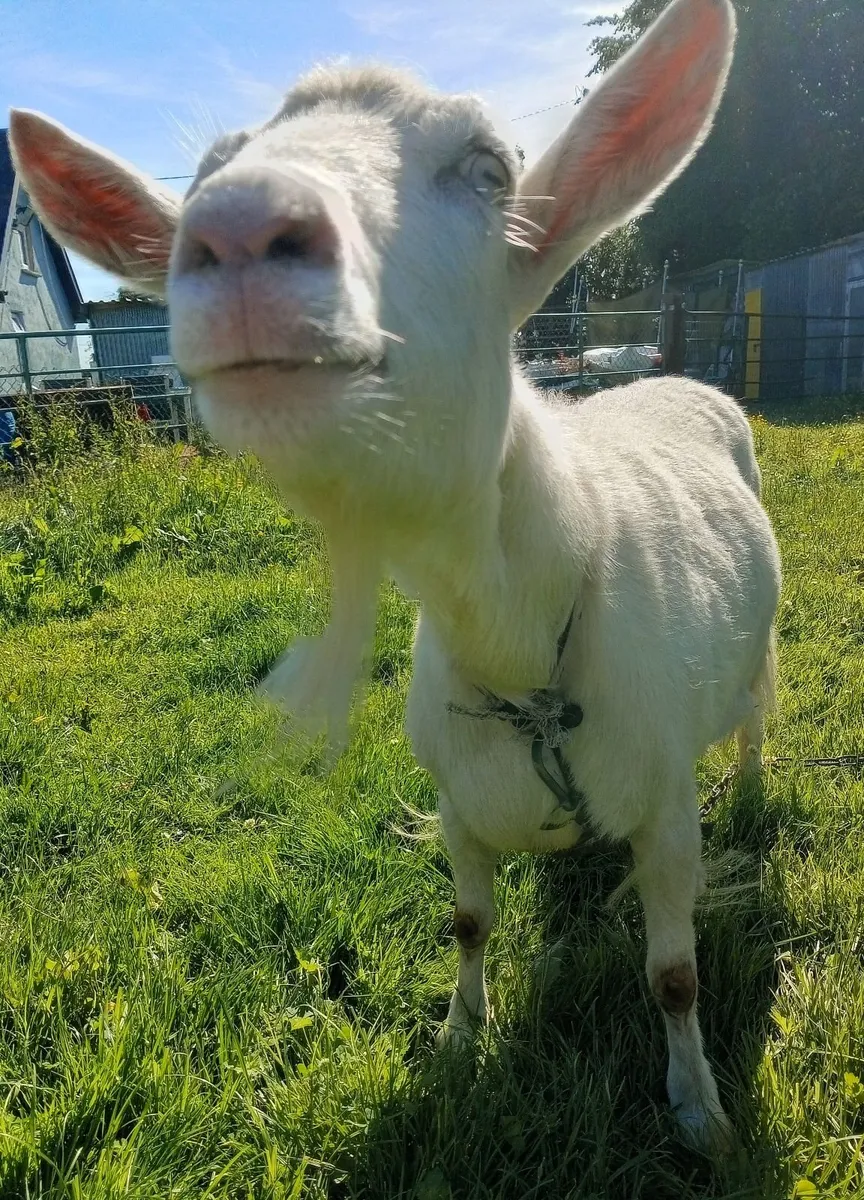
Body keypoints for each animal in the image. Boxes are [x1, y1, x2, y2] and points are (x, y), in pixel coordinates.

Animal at [9, 0, 781, 1147]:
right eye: (207, 172)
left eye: (492, 170)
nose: (240, 229)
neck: (524, 653)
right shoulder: (457, 802)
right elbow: (466, 922)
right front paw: (459, 1040)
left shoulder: (667, 809)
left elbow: (675, 977)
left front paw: (698, 1111)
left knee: (760, 711)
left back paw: (758, 788)